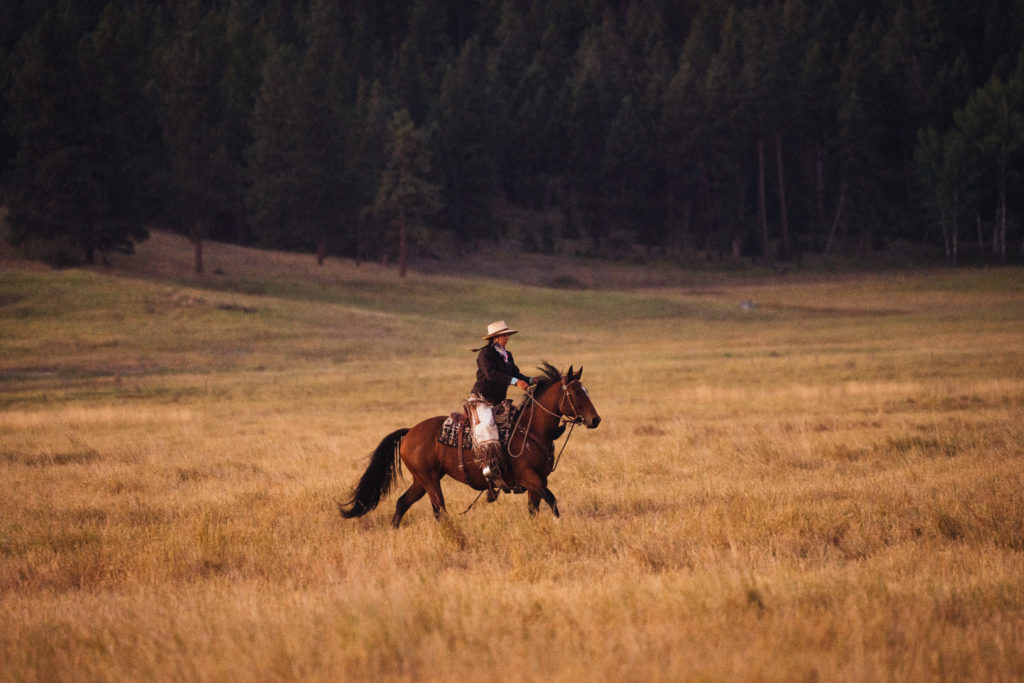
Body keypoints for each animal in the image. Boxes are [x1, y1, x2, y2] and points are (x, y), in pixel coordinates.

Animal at [339, 362, 602, 528]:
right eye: (576, 393)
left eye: (587, 390)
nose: (595, 420)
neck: (531, 431)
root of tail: (410, 431)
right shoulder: (528, 477)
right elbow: (552, 499)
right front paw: (558, 524)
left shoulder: (539, 479)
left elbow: (534, 508)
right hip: (430, 480)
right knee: (439, 510)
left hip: (421, 480)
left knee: (403, 503)